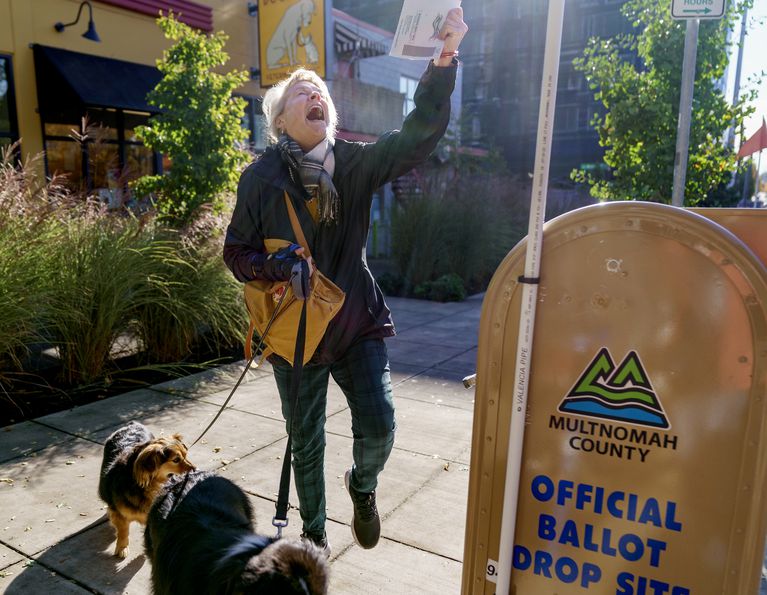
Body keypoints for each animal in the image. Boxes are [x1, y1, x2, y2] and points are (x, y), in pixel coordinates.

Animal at [98, 422, 195, 556]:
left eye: (186, 455)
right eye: (176, 460)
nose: (195, 469)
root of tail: (132, 423)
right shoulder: (119, 513)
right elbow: (123, 530)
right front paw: (122, 546)